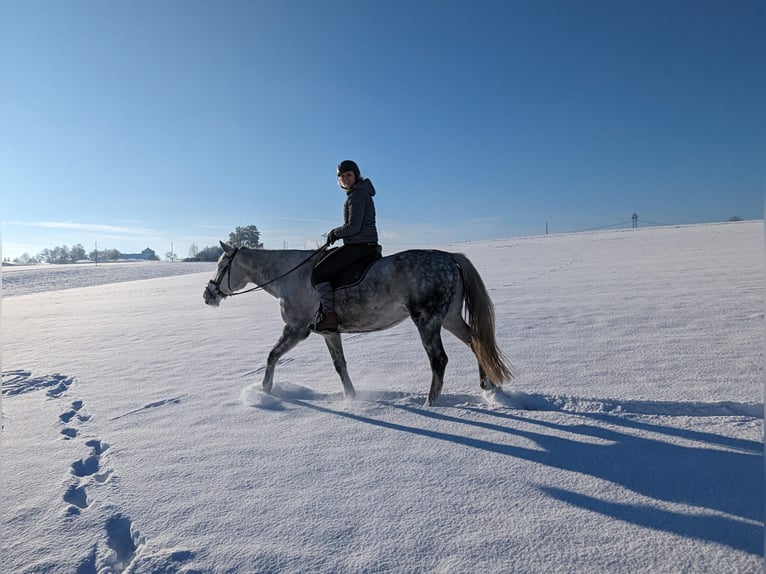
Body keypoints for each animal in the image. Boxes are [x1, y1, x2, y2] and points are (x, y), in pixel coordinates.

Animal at [203, 242, 513, 405]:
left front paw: (265, 391)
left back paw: (431, 404)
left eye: (221, 266)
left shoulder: (297, 329)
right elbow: (340, 365)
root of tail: (449, 258)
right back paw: (487, 387)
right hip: (449, 318)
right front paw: (351, 397)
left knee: (439, 360)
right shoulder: (329, 332)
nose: (208, 295)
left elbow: (272, 355)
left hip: (427, 320)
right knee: (476, 343)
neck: (290, 277)